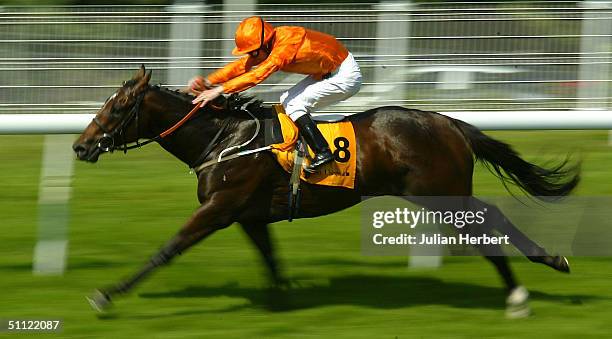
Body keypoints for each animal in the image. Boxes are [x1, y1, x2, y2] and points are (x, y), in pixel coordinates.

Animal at [73, 67, 580, 318]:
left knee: (486, 228)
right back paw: (550, 261)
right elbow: (271, 259)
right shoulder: (248, 215)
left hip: (440, 195)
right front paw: (284, 301)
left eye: (117, 107)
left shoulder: (220, 208)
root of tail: (449, 122)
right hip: (445, 193)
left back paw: (518, 295)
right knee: (493, 216)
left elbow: (168, 249)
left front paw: (106, 295)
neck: (224, 138)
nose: (80, 146)